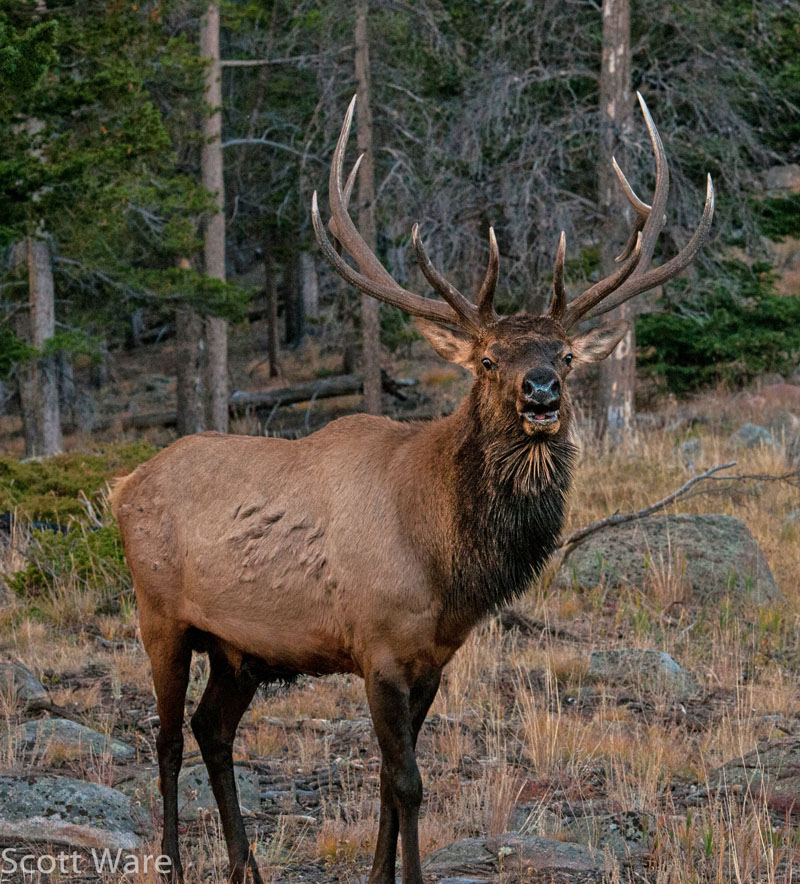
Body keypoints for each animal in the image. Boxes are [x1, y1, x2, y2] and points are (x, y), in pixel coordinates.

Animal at [111, 92, 713, 884]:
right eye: (487, 358)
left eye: (566, 353)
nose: (541, 394)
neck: (445, 561)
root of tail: (123, 484)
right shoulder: (379, 647)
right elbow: (407, 783)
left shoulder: (431, 660)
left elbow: (388, 783)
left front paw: (377, 875)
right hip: (161, 614)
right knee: (167, 738)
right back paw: (176, 864)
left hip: (241, 648)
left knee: (212, 730)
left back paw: (249, 867)